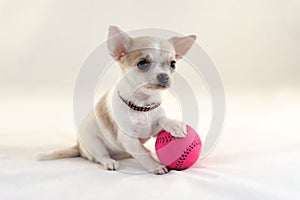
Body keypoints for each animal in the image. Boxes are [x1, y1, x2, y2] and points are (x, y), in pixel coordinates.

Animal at [38, 25, 197, 174]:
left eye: (173, 64)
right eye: (142, 63)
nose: (164, 76)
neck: (142, 107)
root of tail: (79, 147)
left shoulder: (153, 129)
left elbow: (161, 119)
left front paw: (175, 124)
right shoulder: (129, 139)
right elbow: (143, 155)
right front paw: (156, 166)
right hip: (94, 142)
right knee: (100, 156)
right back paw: (109, 161)